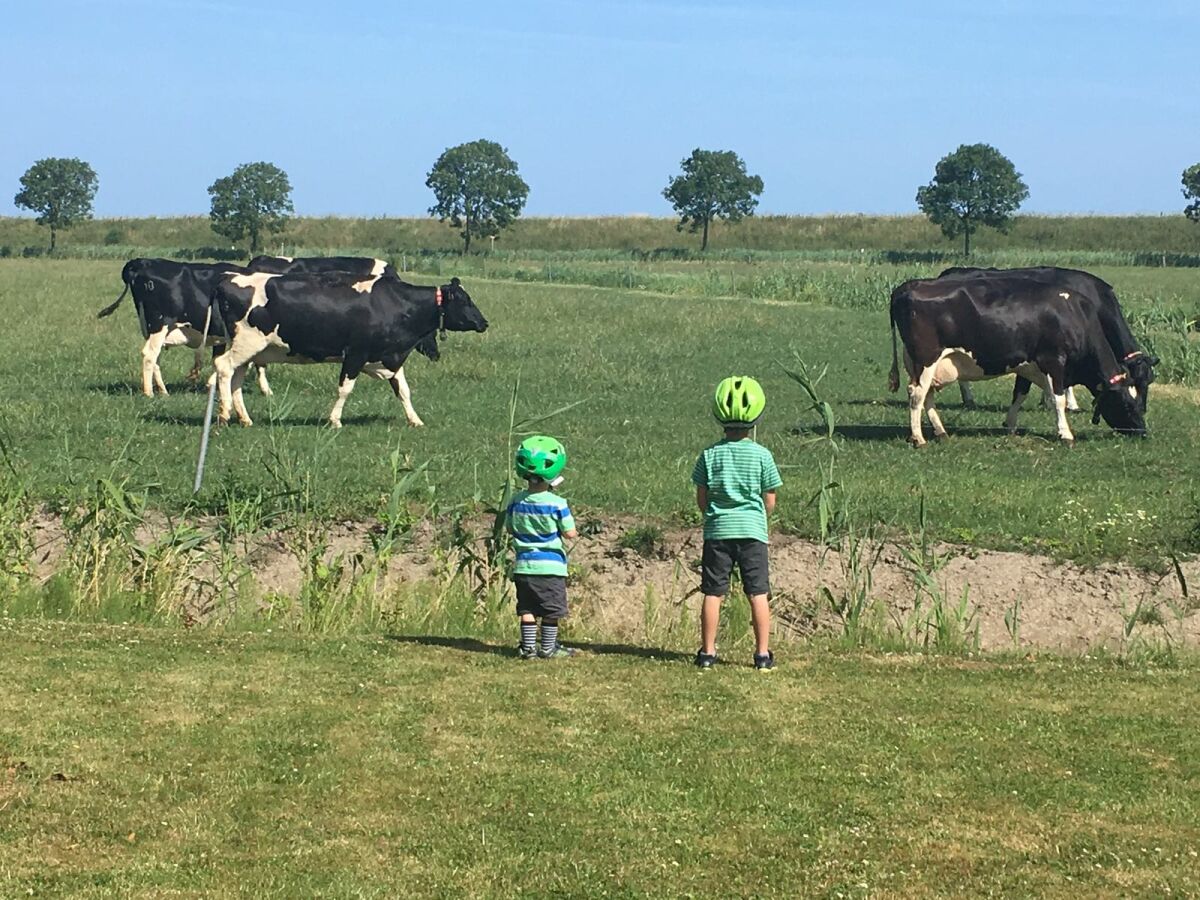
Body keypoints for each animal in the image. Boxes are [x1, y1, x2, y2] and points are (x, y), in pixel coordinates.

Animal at [212, 270, 487, 427]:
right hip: (248, 343)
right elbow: (345, 389)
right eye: (465, 301)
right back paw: (224, 415)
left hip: (248, 349)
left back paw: (244, 418)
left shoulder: (390, 357)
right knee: (223, 367)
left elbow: (404, 391)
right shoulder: (356, 353)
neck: (396, 305)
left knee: (236, 377)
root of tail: (227, 280)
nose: (484, 322)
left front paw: (415, 420)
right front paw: (334, 420)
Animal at [888, 273, 1147, 446]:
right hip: (926, 358)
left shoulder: (1027, 364)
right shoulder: (1053, 360)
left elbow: (1020, 394)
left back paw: (941, 432)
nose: (1143, 432)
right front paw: (1065, 434)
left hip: (919, 362)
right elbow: (1058, 400)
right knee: (917, 394)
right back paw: (918, 438)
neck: (1074, 315)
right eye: (1128, 404)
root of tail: (910, 285)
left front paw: (1010, 425)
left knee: (927, 395)